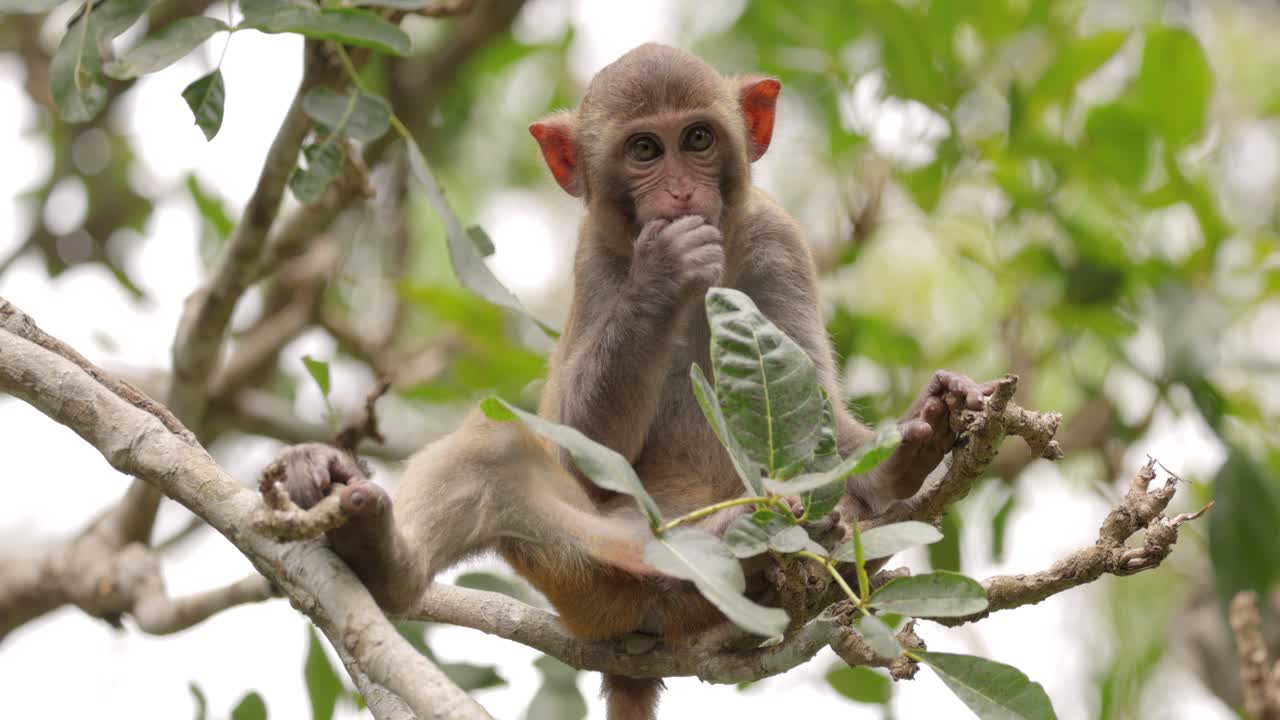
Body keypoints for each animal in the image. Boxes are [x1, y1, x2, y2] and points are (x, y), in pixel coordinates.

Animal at [265, 44, 994, 720]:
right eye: (645, 149)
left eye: (697, 139)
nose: (679, 193)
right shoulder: (596, 258)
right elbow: (587, 443)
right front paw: (662, 275)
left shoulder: (777, 241)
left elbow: (817, 425)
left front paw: (911, 444)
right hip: (589, 582)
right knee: (496, 454)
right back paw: (384, 558)